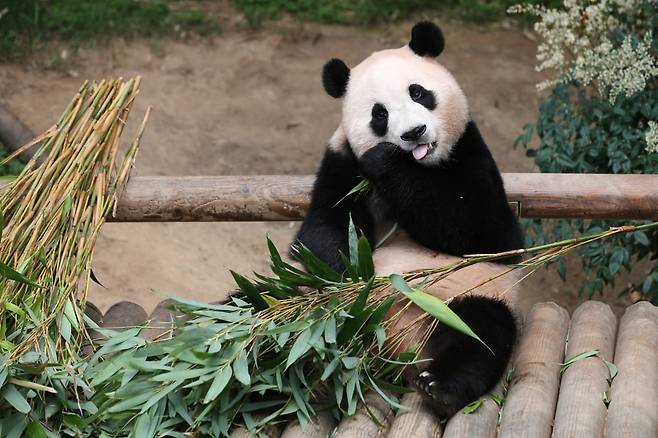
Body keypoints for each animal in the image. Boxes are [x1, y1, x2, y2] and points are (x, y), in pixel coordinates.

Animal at [292, 21, 524, 420]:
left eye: (418, 92)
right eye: (379, 114)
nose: (414, 133)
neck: (420, 166)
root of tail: (392, 344)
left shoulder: (470, 152)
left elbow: (484, 232)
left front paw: (386, 162)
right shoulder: (340, 161)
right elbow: (322, 230)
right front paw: (344, 278)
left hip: (469, 294)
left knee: (481, 333)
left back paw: (439, 387)